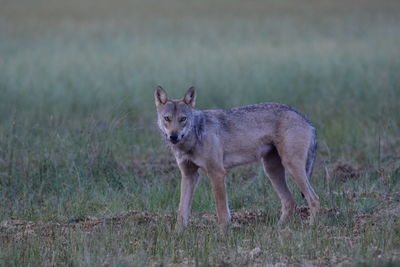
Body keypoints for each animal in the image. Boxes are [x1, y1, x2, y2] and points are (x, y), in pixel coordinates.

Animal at [155, 87, 320, 231]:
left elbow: (222, 212)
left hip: (291, 167)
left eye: (183, 119)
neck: (193, 138)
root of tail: (307, 119)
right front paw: (178, 234)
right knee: (290, 202)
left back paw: (311, 229)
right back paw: (277, 229)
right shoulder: (189, 175)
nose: (173, 136)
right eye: (167, 118)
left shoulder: (217, 173)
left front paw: (223, 236)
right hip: (272, 171)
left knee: (314, 199)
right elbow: (181, 211)